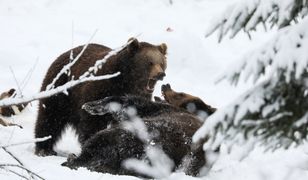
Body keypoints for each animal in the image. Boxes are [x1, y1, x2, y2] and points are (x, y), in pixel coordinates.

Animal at [35, 38, 167, 156]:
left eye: (162, 63)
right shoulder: (101, 87)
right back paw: (44, 148)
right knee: (50, 116)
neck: (127, 81)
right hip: (61, 87)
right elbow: (92, 121)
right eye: (149, 62)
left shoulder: (137, 98)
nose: (160, 74)